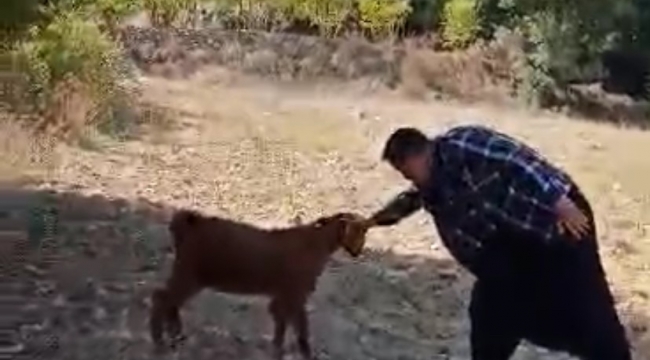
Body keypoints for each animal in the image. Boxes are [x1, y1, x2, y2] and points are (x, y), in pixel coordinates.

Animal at [149, 210, 368, 358]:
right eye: (359, 230)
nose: (358, 251)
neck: (316, 242)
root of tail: (190, 222)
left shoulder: (286, 296)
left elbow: (286, 324)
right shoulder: (295, 294)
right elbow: (299, 326)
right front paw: (295, 353)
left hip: (190, 276)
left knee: (169, 301)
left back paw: (176, 335)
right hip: (189, 274)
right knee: (161, 298)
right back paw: (160, 342)